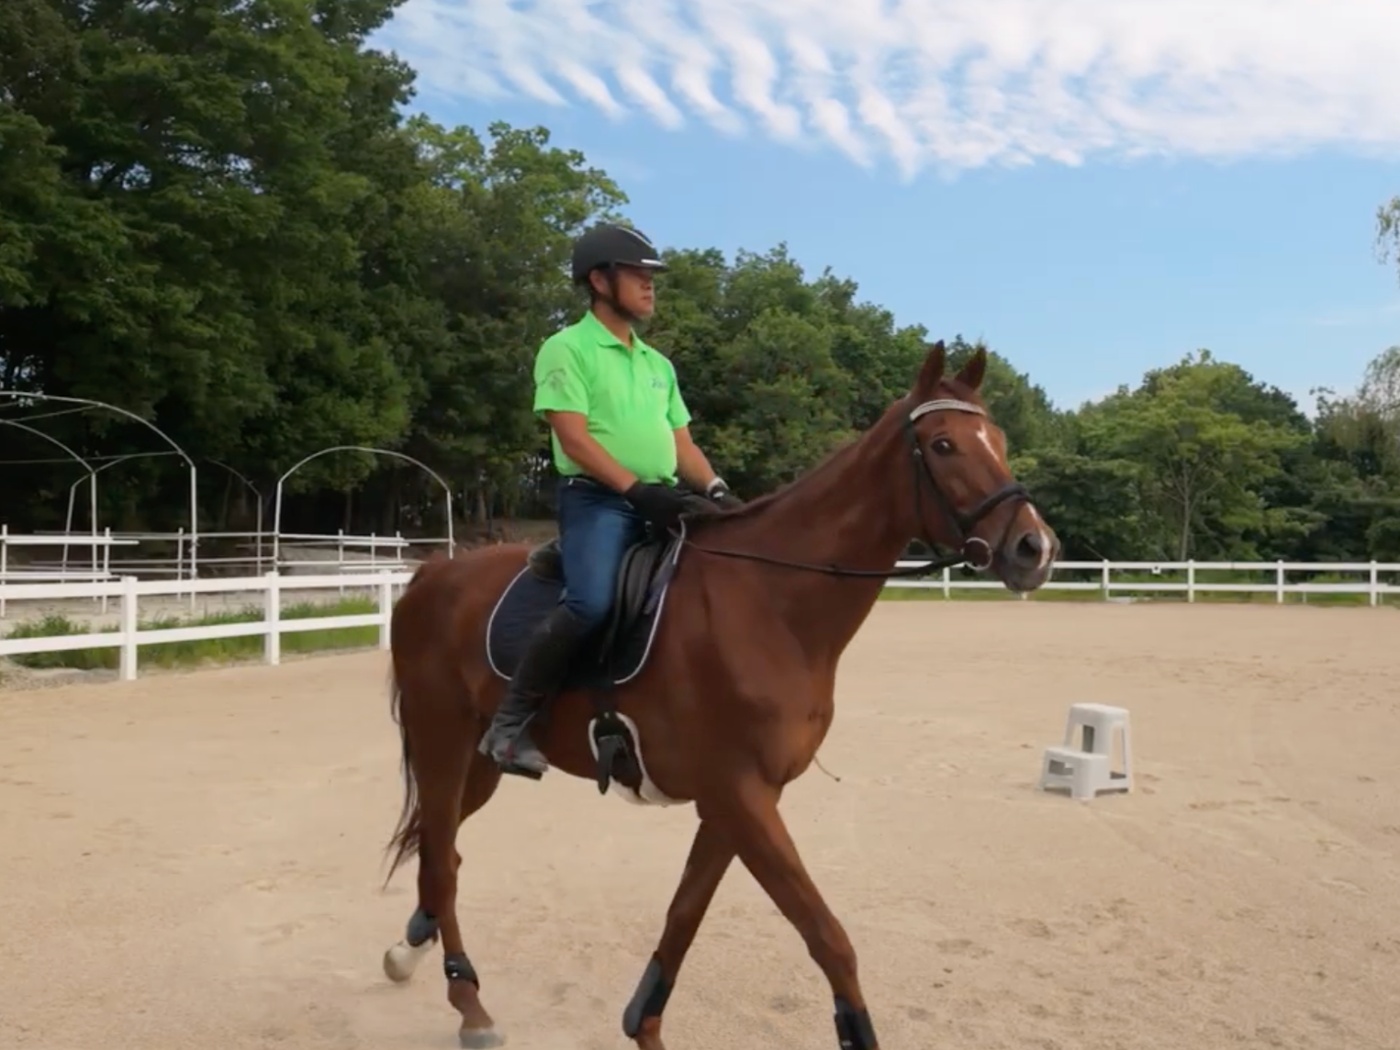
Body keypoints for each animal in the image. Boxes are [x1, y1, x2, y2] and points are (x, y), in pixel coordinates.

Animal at [376, 340, 1060, 1050]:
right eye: (944, 445)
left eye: (999, 441)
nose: (1035, 548)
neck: (770, 602)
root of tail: (432, 574)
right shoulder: (740, 794)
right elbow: (829, 938)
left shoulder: (739, 801)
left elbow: (683, 916)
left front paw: (644, 1026)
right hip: (442, 743)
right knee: (440, 858)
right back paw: (469, 1004)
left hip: (477, 761)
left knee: (442, 850)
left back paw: (413, 951)